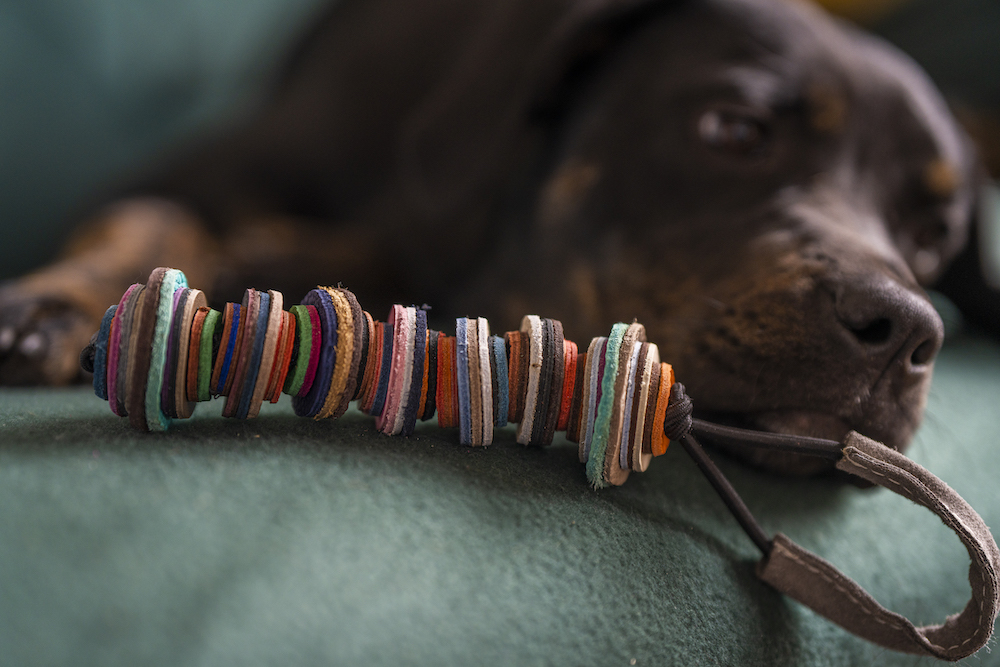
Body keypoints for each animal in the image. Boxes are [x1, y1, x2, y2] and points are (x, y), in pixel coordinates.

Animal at [0, 0, 988, 474]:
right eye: (734, 130)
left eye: (934, 233)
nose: (904, 326)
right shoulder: (184, 172)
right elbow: (154, 215)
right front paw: (53, 302)